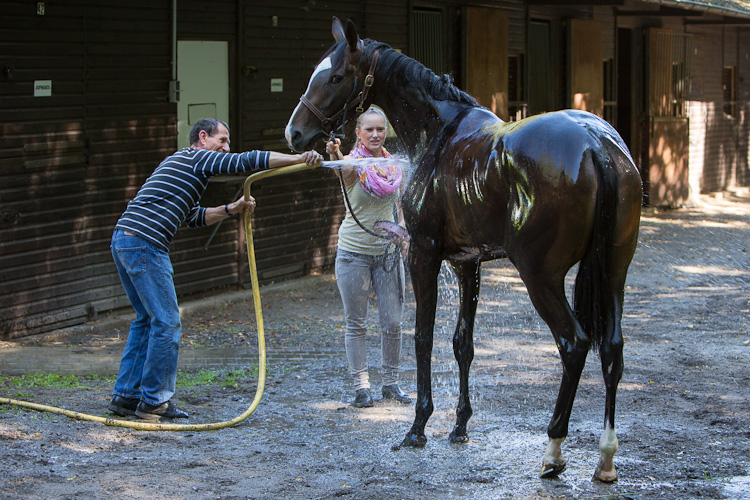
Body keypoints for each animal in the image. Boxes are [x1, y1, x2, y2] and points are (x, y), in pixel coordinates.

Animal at [284, 17, 644, 482]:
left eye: (336, 77)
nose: (295, 133)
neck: (438, 133)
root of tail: (596, 143)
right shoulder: (467, 264)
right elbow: (462, 344)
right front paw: (459, 427)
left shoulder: (423, 256)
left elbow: (422, 338)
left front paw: (418, 428)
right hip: (614, 272)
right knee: (612, 348)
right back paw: (605, 458)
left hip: (541, 277)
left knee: (574, 344)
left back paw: (553, 450)